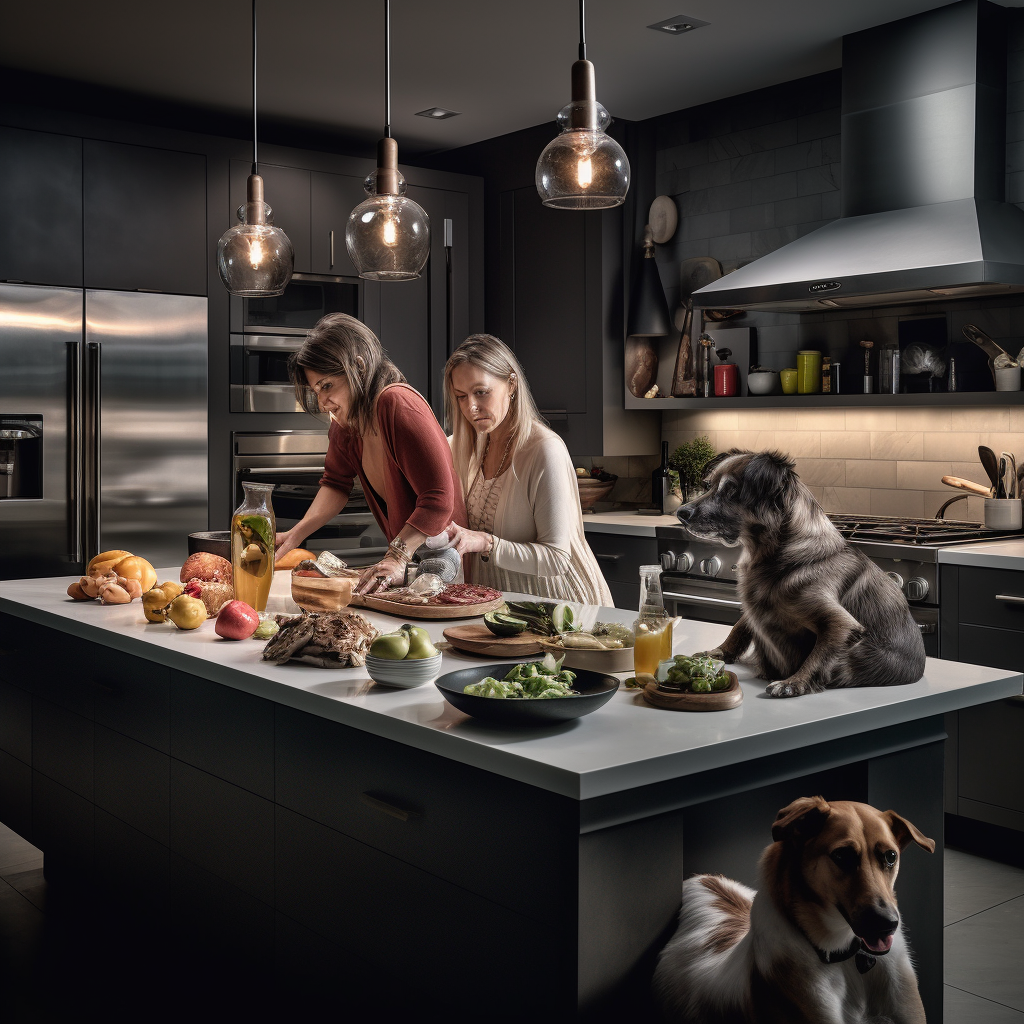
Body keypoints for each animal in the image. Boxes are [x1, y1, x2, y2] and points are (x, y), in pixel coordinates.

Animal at [679, 452, 929, 700]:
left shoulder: (841, 624)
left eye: (731, 490)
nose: (681, 513)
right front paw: (719, 652)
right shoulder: (753, 606)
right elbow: (739, 626)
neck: (777, 553)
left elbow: (818, 656)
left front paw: (794, 682)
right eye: (708, 486)